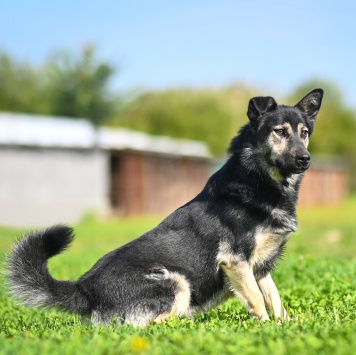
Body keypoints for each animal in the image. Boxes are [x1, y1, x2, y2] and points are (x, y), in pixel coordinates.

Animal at [5, 88, 324, 328]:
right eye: (279, 132)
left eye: (304, 132)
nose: (305, 159)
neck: (259, 181)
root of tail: (85, 289)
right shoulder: (235, 261)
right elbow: (258, 300)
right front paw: (264, 328)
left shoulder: (260, 267)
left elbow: (275, 298)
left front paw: (284, 326)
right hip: (174, 281)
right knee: (156, 323)